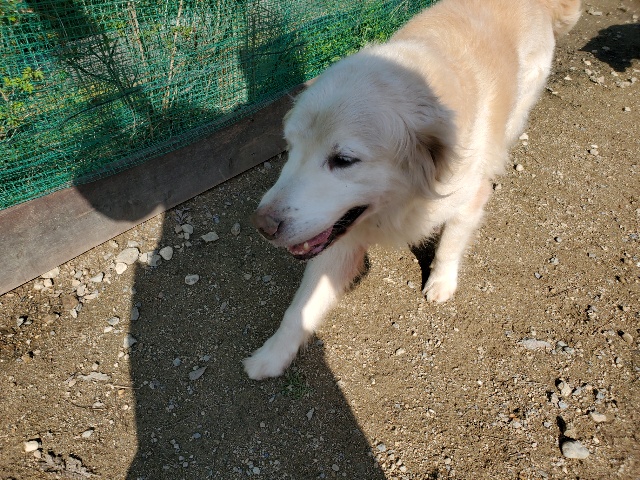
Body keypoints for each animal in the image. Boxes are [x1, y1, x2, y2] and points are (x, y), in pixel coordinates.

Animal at [244, 0, 581, 380]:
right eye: (290, 148)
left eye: (344, 159)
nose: (262, 226)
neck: (402, 202)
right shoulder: (339, 233)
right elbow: (300, 309)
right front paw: (271, 356)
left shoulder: (468, 198)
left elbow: (451, 243)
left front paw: (441, 283)